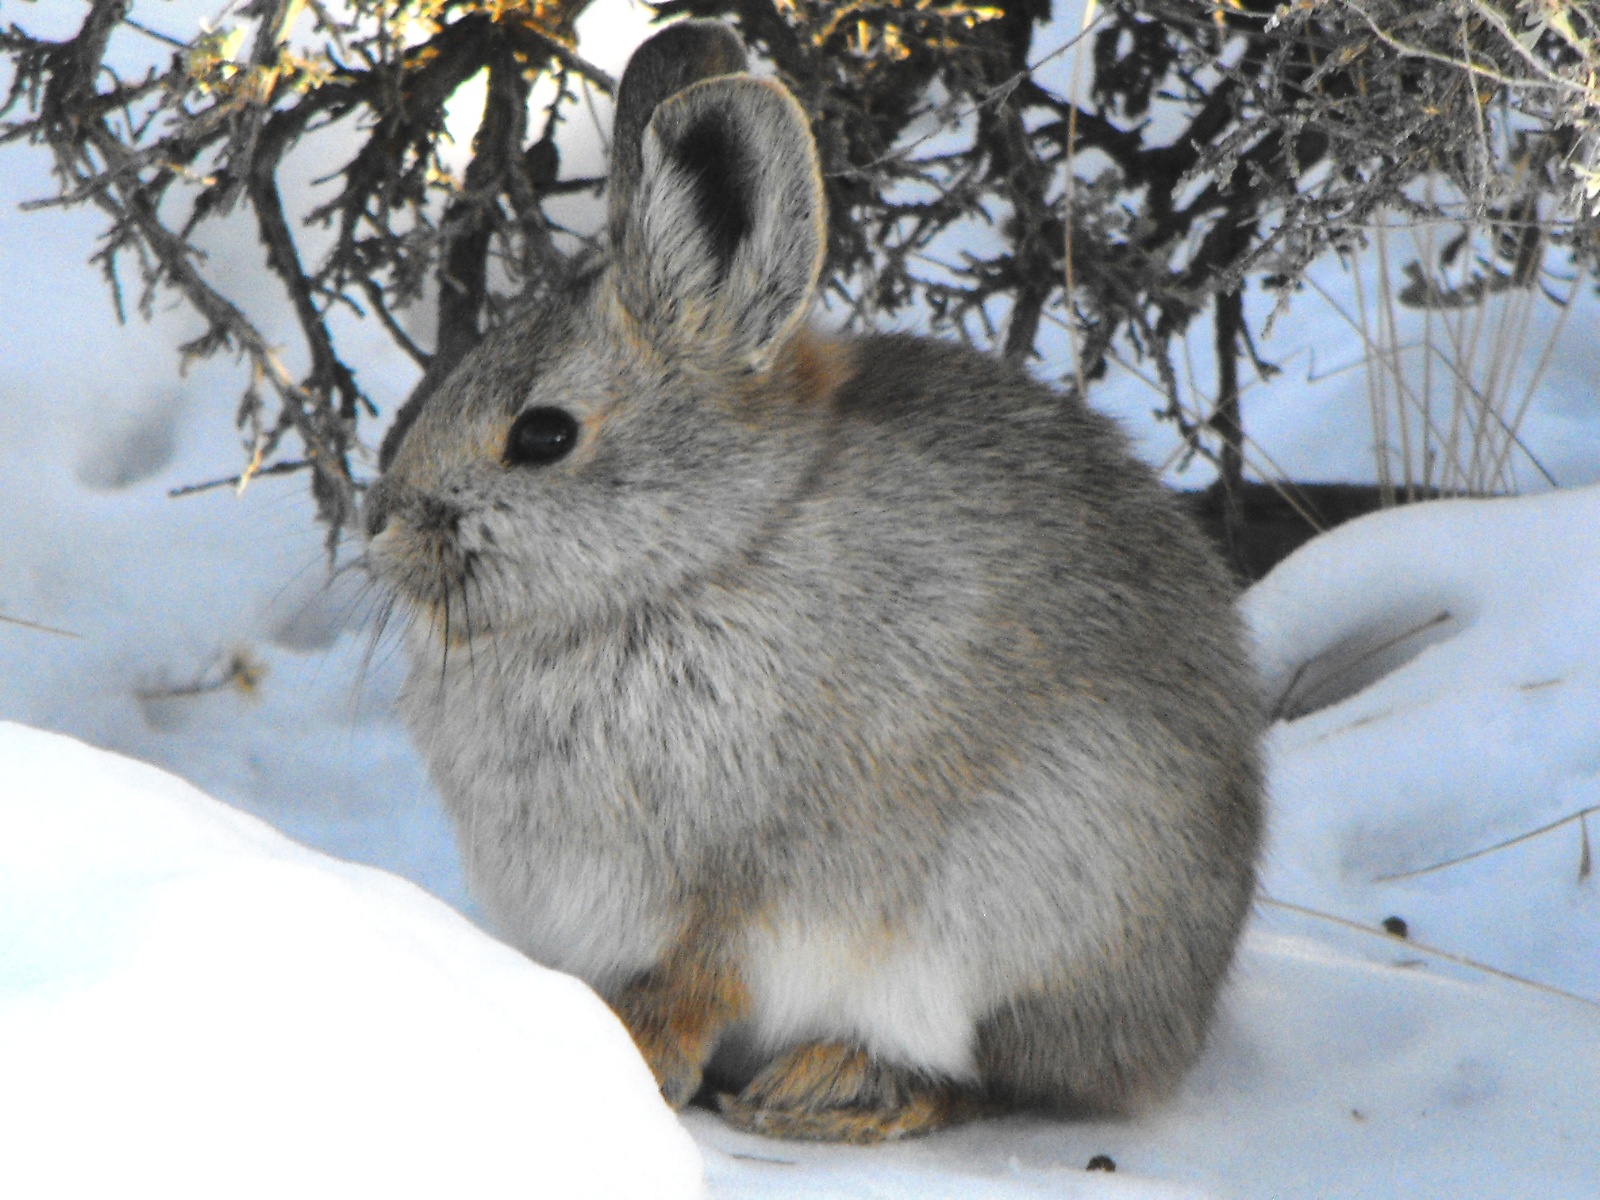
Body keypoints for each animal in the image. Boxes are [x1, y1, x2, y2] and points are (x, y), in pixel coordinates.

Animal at [363, 18, 1260, 1145]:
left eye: (543, 435)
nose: (385, 527)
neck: (697, 560)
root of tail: (1182, 1019)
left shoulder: (748, 887)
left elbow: (698, 979)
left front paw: (632, 1060)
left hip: (1024, 901)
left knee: (986, 1075)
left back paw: (825, 1091)